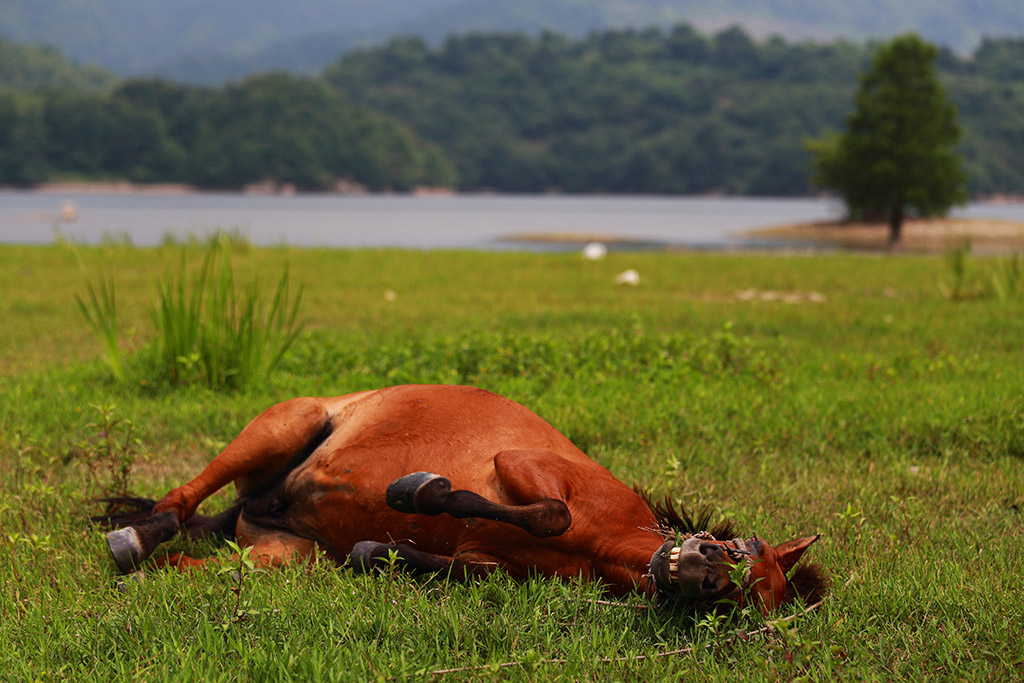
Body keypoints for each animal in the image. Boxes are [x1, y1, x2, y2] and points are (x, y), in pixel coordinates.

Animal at [99, 385, 827, 614]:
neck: (609, 543)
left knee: (198, 557)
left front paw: (376, 546)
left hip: (283, 555)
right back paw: (134, 536)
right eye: (746, 547)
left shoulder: (487, 565)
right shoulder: (524, 466)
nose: (704, 573)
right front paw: (420, 489)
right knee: (178, 501)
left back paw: (149, 569)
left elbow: (391, 555)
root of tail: (261, 507)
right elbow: (545, 511)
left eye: (738, 607)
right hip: (283, 424)